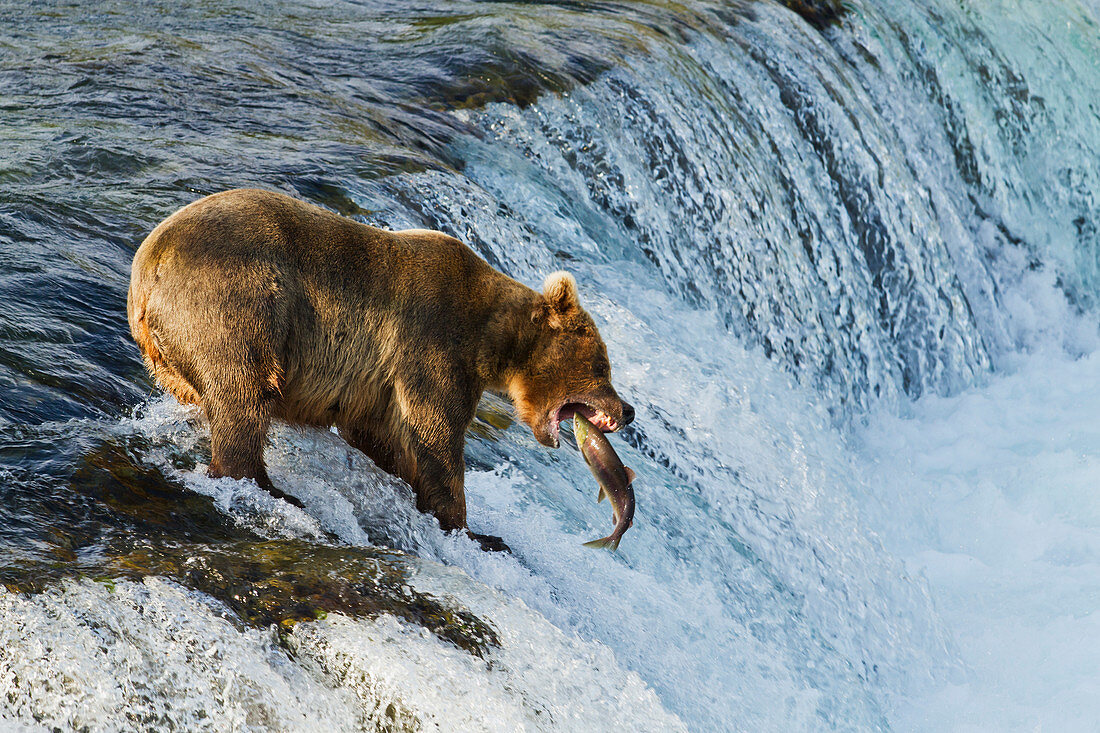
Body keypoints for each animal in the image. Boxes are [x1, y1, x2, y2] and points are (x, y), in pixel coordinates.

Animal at [126, 188, 638, 548]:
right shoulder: (433, 341)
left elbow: (382, 434)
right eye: (602, 364)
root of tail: (148, 267)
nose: (628, 410)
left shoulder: (375, 385)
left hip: (172, 352)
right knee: (245, 392)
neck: (491, 339)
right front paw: (475, 531)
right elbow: (434, 435)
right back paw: (269, 486)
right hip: (237, 298)